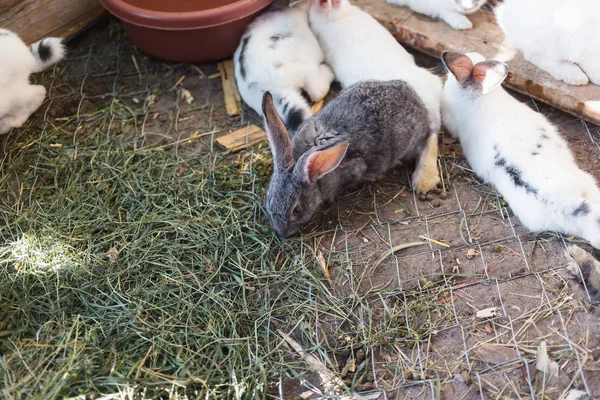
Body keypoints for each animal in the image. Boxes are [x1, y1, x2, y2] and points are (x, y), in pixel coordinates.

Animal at [262, 81, 440, 238]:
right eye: (269, 201)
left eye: (297, 211)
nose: (283, 234)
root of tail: (415, 97)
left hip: (410, 145)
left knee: (429, 138)